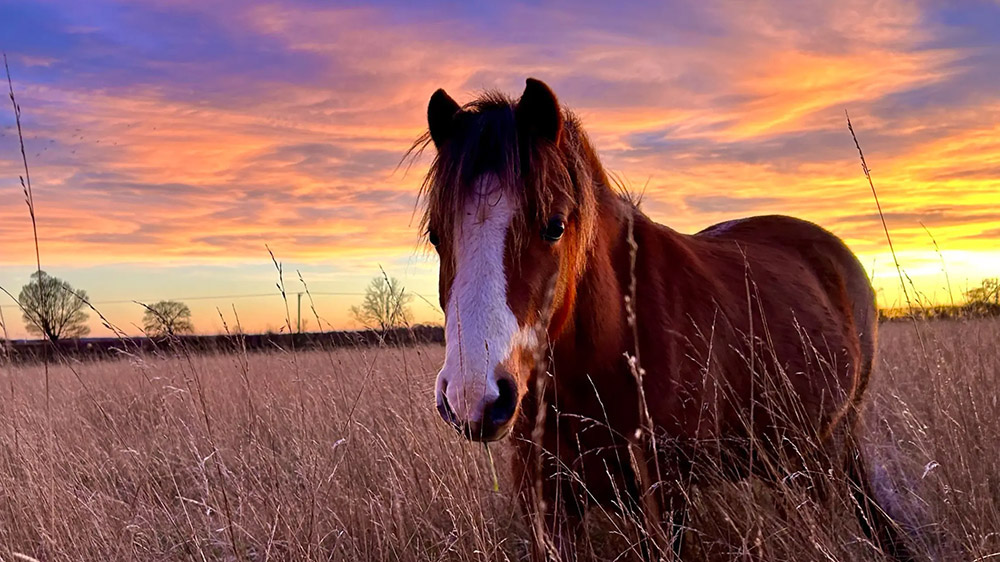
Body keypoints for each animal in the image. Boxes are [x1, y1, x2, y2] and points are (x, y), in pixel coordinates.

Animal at [417, 78, 912, 560]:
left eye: (554, 226)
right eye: (437, 234)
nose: (473, 397)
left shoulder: (665, 489)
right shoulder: (545, 499)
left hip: (838, 436)